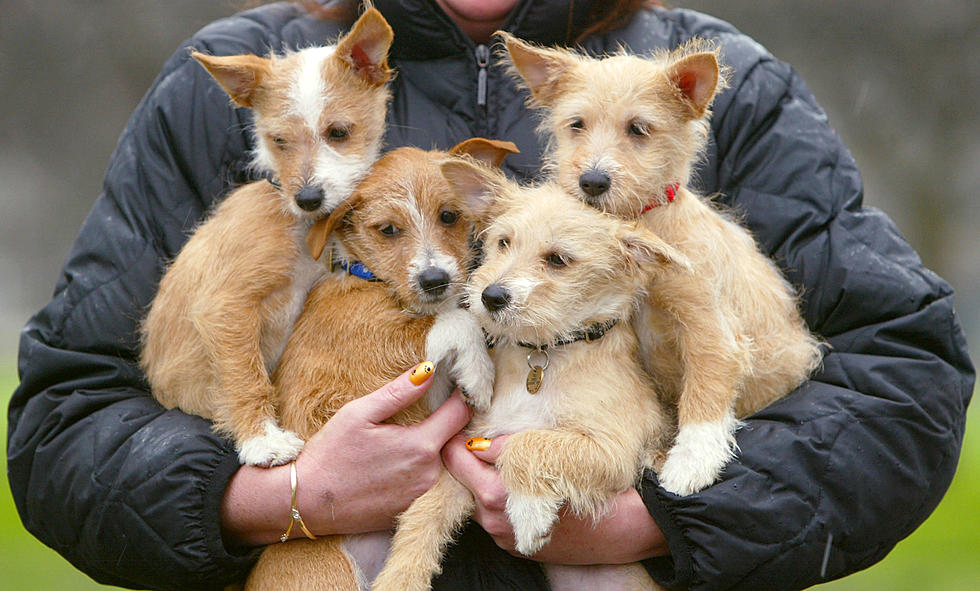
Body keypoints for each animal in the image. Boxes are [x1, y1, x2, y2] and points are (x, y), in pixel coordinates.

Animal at [139, 9, 398, 468]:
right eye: (279, 141)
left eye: (338, 132)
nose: (308, 198)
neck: (301, 227)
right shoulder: (224, 306)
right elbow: (244, 374)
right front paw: (262, 440)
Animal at [241, 139, 516, 591]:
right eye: (387, 230)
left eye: (449, 215)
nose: (435, 280)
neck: (368, 278)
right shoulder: (379, 351)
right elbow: (454, 321)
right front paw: (478, 375)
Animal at [370, 161, 680, 591]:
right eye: (503, 242)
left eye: (558, 260)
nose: (491, 296)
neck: (541, 356)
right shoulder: (466, 456)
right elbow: (425, 511)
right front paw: (399, 578)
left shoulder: (614, 450)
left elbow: (527, 443)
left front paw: (529, 514)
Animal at [502, 32, 824, 494]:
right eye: (576, 124)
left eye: (639, 129)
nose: (592, 181)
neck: (642, 224)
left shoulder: (710, 327)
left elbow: (705, 393)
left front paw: (690, 464)